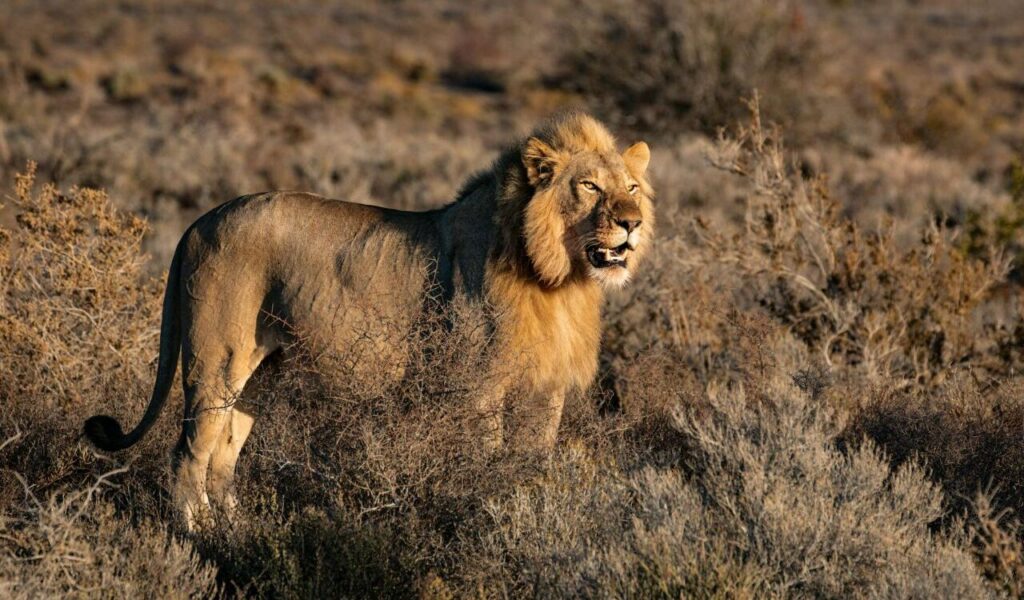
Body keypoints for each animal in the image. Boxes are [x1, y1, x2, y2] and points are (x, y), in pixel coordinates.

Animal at [83, 112, 654, 529]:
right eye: (590, 187)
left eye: (631, 187)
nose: (632, 223)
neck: (559, 279)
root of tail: (198, 222)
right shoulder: (479, 386)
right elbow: (488, 460)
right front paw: (489, 511)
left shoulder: (546, 388)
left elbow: (533, 461)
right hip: (215, 361)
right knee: (187, 455)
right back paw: (198, 538)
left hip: (262, 373)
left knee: (224, 455)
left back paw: (238, 532)